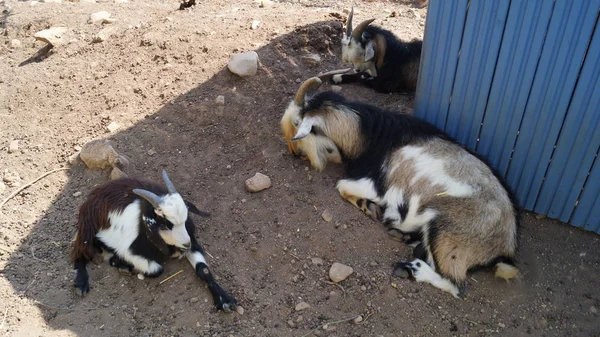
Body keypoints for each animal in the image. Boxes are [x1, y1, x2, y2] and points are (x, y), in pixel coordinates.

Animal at [282, 78, 520, 296]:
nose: (295, 154)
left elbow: (341, 186)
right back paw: (403, 236)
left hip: (446, 233)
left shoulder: (376, 186)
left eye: (296, 122)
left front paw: (369, 207)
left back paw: (412, 268)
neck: (371, 137)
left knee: (455, 284)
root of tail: (504, 246)